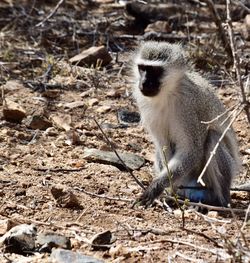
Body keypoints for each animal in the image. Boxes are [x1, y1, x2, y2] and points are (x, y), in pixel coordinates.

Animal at [133, 41, 240, 207]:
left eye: (155, 70)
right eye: (142, 68)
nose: (144, 82)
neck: (168, 93)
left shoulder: (188, 107)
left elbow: (192, 150)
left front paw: (155, 187)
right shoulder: (144, 102)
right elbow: (163, 145)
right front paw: (164, 188)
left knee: (212, 137)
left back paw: (219, 201)